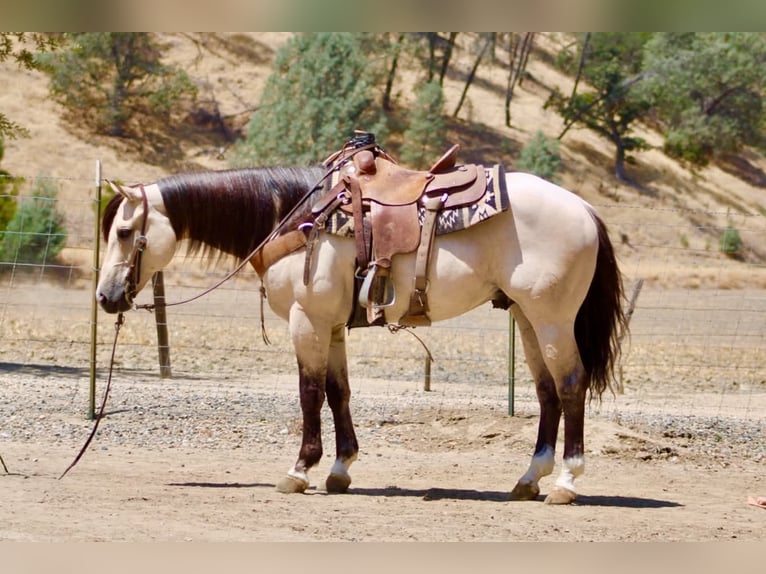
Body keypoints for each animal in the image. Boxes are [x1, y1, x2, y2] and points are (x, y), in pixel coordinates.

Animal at [96, 159, 626, 505]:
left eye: (123, 232)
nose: (106, 297)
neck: (294, 217)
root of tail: (584, 209)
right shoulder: (330, 327)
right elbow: (338, 392)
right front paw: (340, 468)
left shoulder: (307, 321)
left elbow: (310, 393)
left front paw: (300, 469)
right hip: (527, 318)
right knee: (547, 391)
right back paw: (529, 479)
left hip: (552, 318)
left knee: (571, 385)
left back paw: (566, 483)